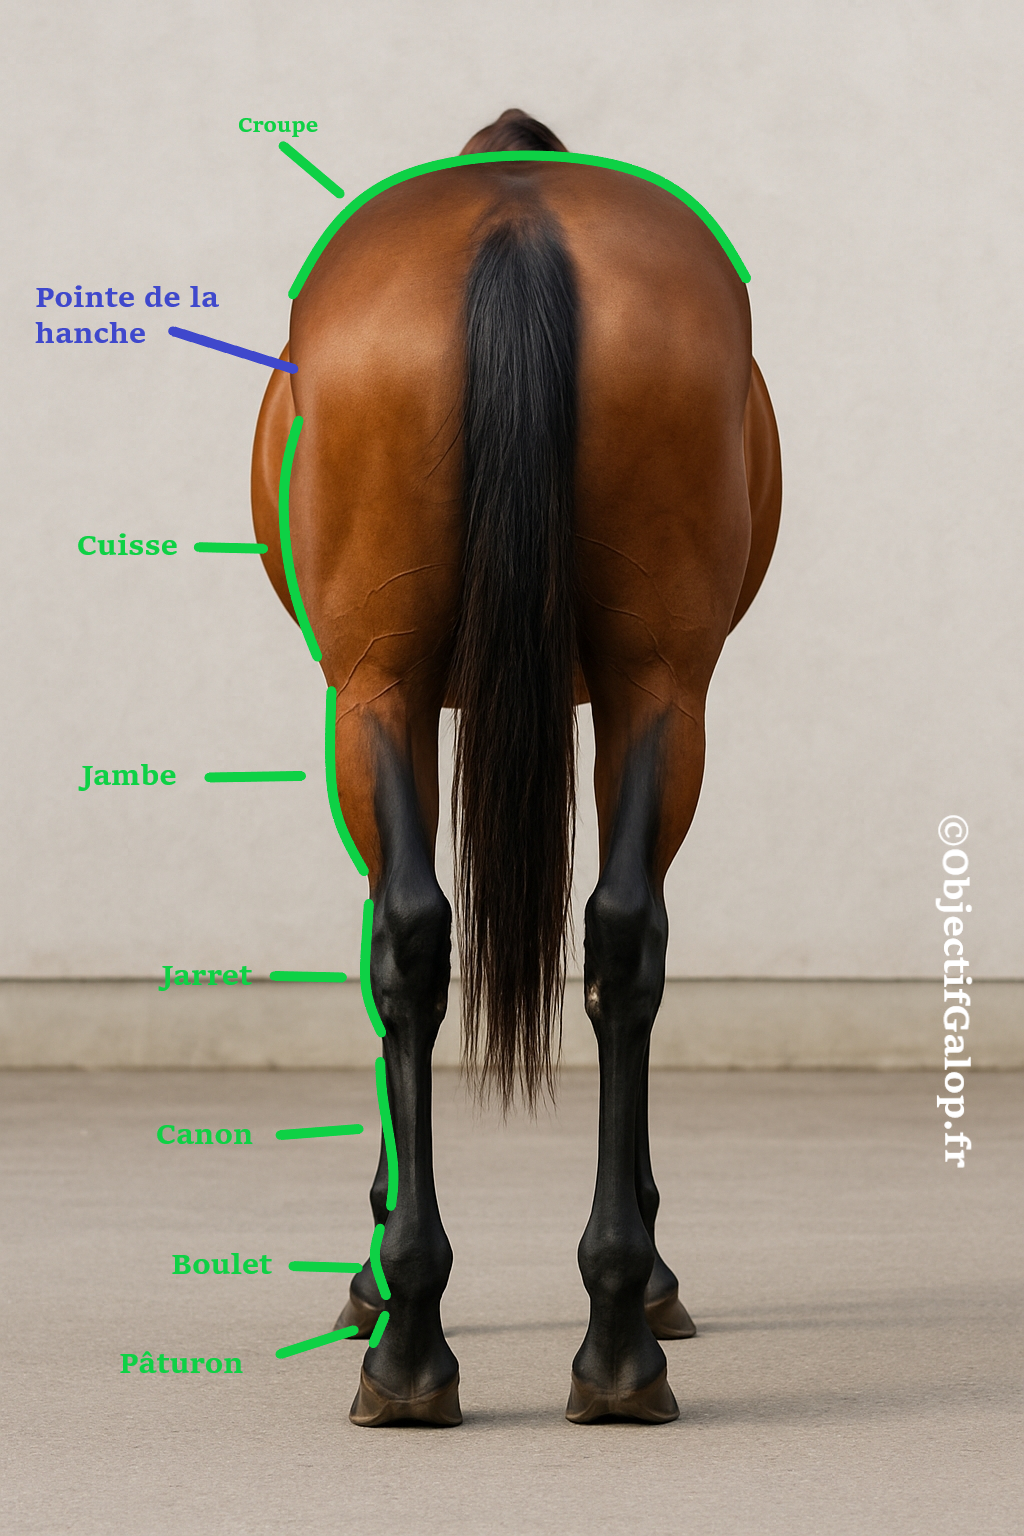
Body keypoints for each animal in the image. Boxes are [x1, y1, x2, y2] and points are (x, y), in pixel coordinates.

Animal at [251, 108, 781, 1427]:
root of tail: (516, 219)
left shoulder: (381, 701)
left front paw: (372, 1273)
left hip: (381, 685)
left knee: (418, 941)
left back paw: (413, 1344)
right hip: (650, 686)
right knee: (609, 937)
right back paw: (608, 1346)